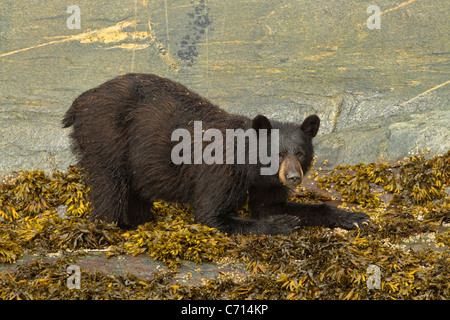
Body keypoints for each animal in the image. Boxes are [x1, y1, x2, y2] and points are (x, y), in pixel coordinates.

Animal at [64, 74, 372, 235]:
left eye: (300, 152)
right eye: (277, 152)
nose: (294, 177)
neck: (251, 168)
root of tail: (80, 100)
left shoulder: (266, 183)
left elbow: (270, 205)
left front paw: (353, 216)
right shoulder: (221, 171)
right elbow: (211, 214)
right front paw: (281, 223)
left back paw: (141, 219)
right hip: (106, 134)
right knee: (110, 184)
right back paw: (113, 225)